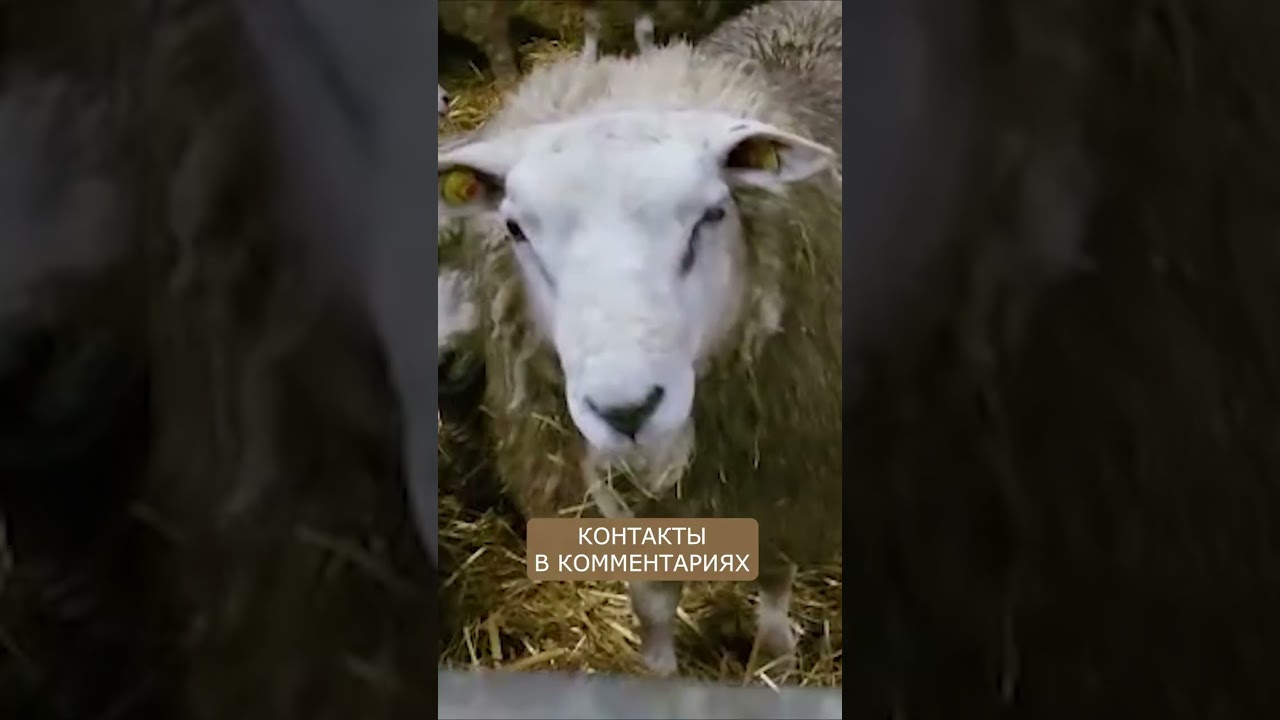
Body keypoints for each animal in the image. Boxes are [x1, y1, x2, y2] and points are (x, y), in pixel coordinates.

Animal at [436, 1, 843, 677]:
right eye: (516, 229)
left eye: (712, 214)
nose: (626, 411)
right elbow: (652, 605)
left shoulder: (790, 468)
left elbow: (774, 577)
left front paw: (775, 657)